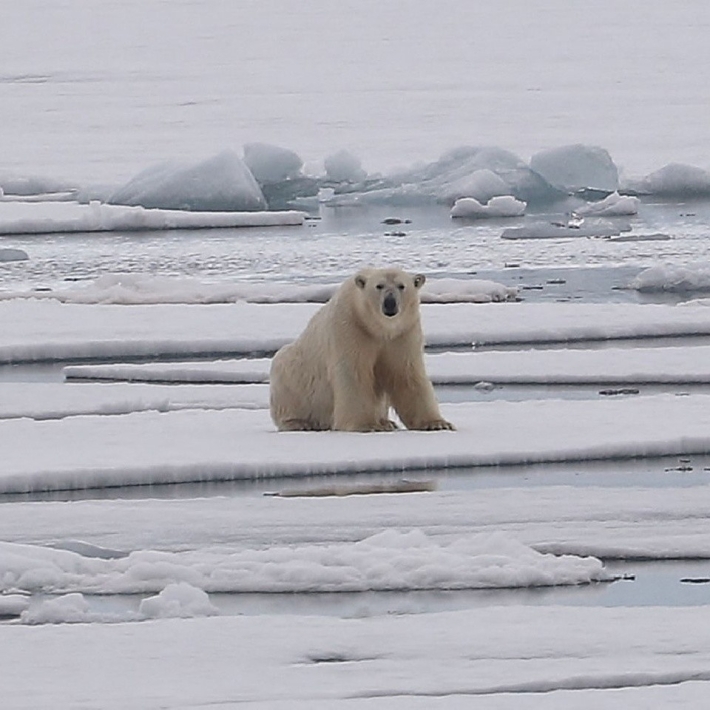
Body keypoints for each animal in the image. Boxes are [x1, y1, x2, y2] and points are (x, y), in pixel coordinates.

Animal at [268, 268, 456, 432]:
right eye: (379, 286)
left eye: (401, 286)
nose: (390, 303)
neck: (377, 328)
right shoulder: (350, 327)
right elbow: (353, 373)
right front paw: (366, 425)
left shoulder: (403, 333)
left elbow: (406, 374)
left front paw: (438, 423)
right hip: (291, 376)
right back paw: (299, 422)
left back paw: (387, 422)